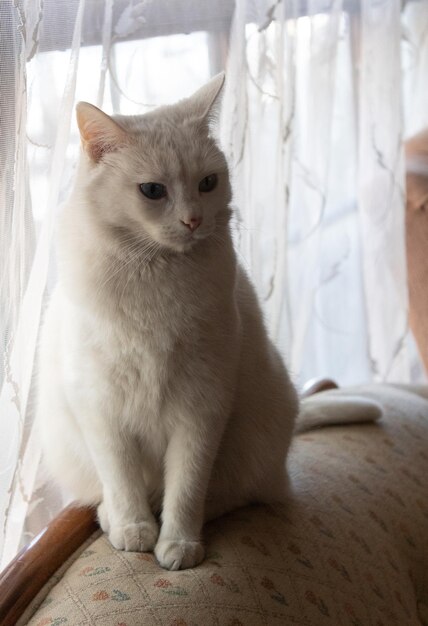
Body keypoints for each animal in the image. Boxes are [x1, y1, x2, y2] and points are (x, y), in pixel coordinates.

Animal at [36, 74, 378, 572]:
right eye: (152, 191)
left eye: (208, 182)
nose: (193, 220)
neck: (155, 273)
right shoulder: (101, 408)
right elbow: (121, 478)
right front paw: (135, 531)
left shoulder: (201, 407)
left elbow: (187, 487)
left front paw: (178, 545)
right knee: (111, 491)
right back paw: (115, 518)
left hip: (254, 441)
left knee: (235, 493)